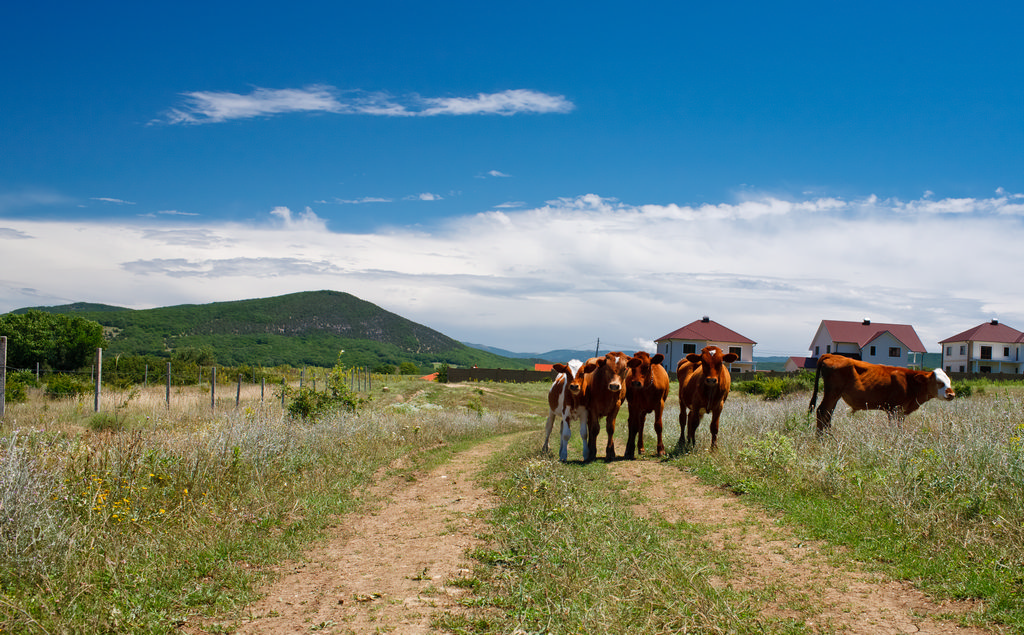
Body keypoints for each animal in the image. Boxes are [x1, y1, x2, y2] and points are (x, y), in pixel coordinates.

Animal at [811, 352, 954, 436]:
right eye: (939, 382)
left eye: (949, 381)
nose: (951, 394)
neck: (910, 382)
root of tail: (831, 355)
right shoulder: (893, 409)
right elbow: (893, 427)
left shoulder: (901, 412)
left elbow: (900, 427)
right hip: (832, 393)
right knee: (822, 411)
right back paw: (821, 438)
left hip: (835, 395)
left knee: (828, 413)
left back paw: (829, 436)